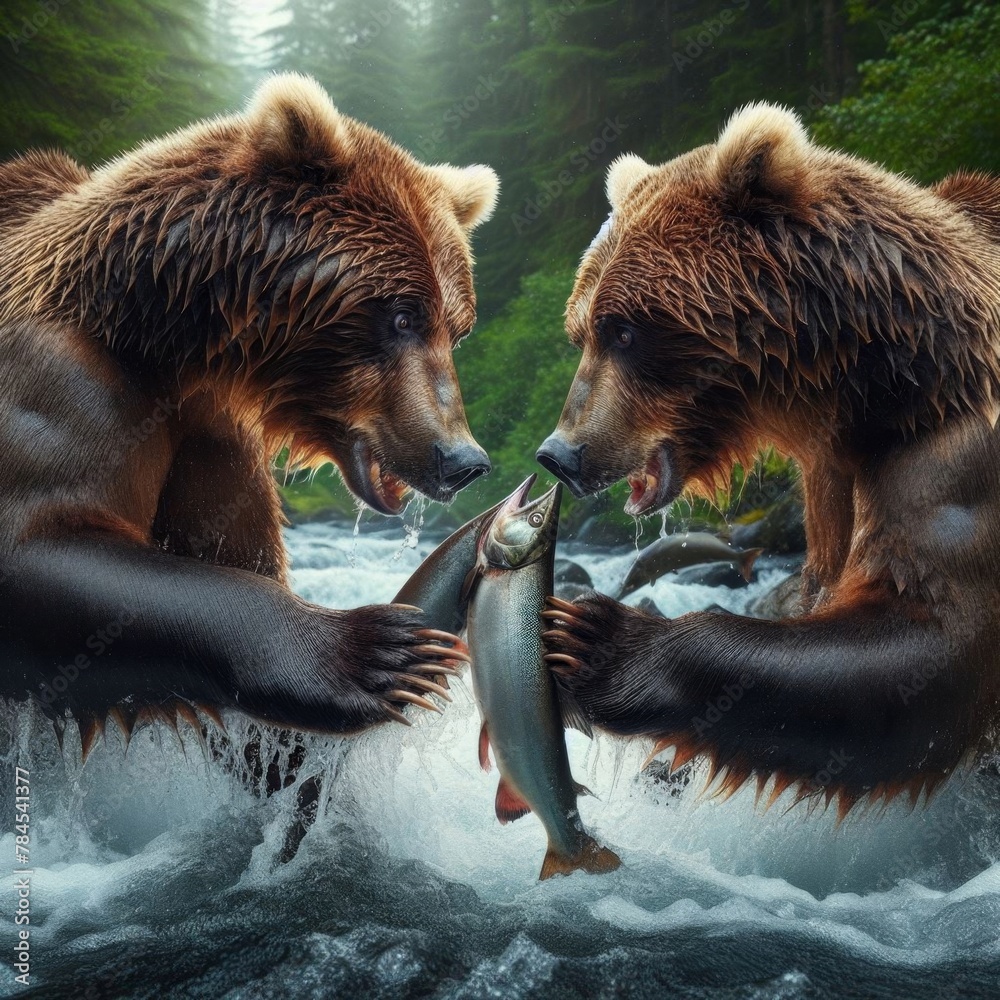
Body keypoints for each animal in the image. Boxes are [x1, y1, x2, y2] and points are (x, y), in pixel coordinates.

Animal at [0, 73, 499, 748]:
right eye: (402, 316)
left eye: (458, 328)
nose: (462, 459)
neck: (163, 335)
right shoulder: (62, 381)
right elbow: (45, 540)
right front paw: (374, 651)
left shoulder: (208, 433)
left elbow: (234, 542)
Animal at [537, 102, 1000, 818]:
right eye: (581, 329)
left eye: (625, 330)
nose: (560, 453)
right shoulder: (834, 475)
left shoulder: (947, 450)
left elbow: (928, 640)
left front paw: (598, 640)